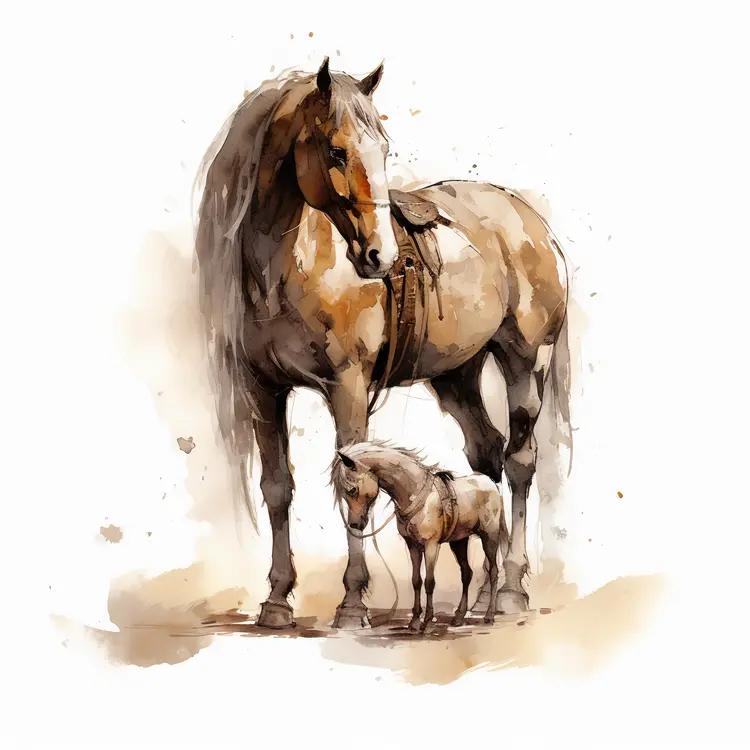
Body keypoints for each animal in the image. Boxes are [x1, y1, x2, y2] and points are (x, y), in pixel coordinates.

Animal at [332, 441, 509, 630]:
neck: (415, 493)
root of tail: (492, 485)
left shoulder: (431, 545)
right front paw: (415, 620)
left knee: (493, 571)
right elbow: (416, 580)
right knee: (466, 573)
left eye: (352, 490)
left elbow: (429, 581)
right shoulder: (413, 546)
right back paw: (459, 617)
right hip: (459, 541)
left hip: (489, 536)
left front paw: (427, 621)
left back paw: (489, 616)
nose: (354, 525)